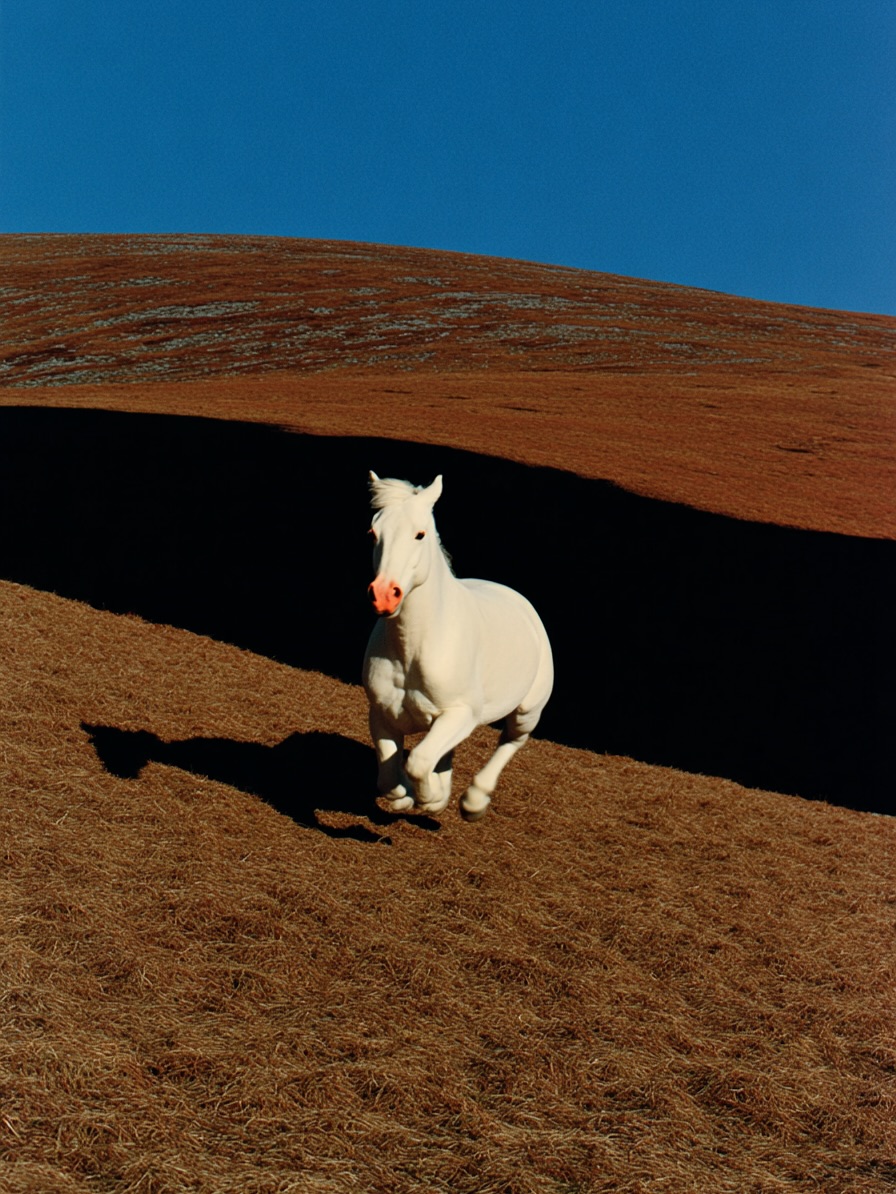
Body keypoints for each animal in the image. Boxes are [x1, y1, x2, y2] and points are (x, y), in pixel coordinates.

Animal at [362, 472, 554, 821]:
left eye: (420, 534)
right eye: (373, 533)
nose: (384, 595)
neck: (414, 650)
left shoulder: (461, 713)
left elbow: (418, 762)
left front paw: (431, 798)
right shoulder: (382, 713)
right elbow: (389, 778)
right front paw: (411, 797)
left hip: (527, 711)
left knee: (511, 740)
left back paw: (474, 801)